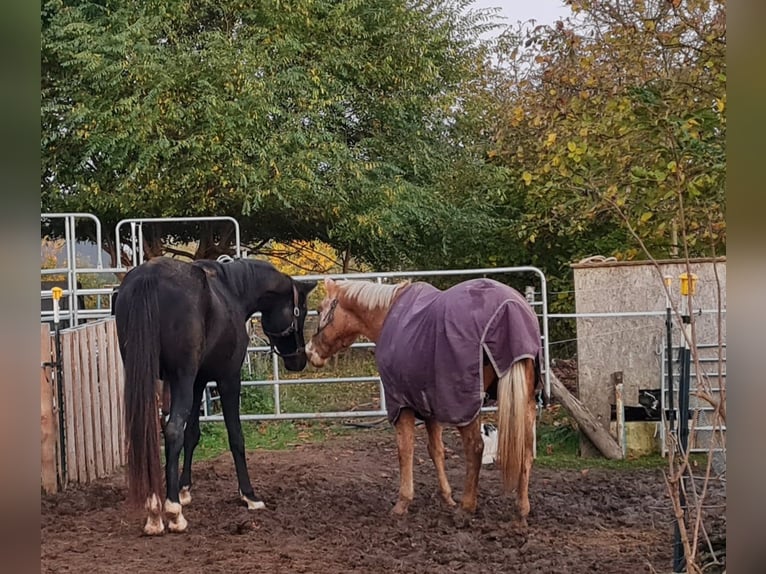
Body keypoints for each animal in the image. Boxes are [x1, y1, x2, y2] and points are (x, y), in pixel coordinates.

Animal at [115, 258, 318, 536]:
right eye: (302, 311)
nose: (299, 360)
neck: (232, 292)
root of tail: (150, 276)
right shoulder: (228, 379)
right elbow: (235, 436)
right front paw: (249, 496)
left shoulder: (199, 380)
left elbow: (192, 435)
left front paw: (184, 489)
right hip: (181, 377)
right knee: (173, 430)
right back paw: (172, 513)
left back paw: (154, 511)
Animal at [304, 278, 544, 528]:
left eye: (320, 310)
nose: (310, 352)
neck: (389, 313)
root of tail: (510, 310)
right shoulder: (429, 407)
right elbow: (436, 450)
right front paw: (447, 497)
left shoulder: (401, 405)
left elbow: (405, 450)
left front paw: (402, 503)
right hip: (525, 404)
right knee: (526, 451)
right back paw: (521, 512)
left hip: (466, 408)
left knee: (475, 449)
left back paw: (467, 508)